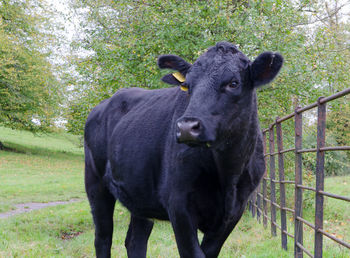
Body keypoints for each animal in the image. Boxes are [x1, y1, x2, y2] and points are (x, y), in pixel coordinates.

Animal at [84, 42, 282, 258]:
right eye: (187, 86)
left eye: (233, 83)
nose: (187, 127)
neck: (228, 172)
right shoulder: (179, 206)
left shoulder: (235, 210)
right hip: (95, 184)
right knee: (103, 238)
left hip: (140, 194)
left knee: (135, 241)